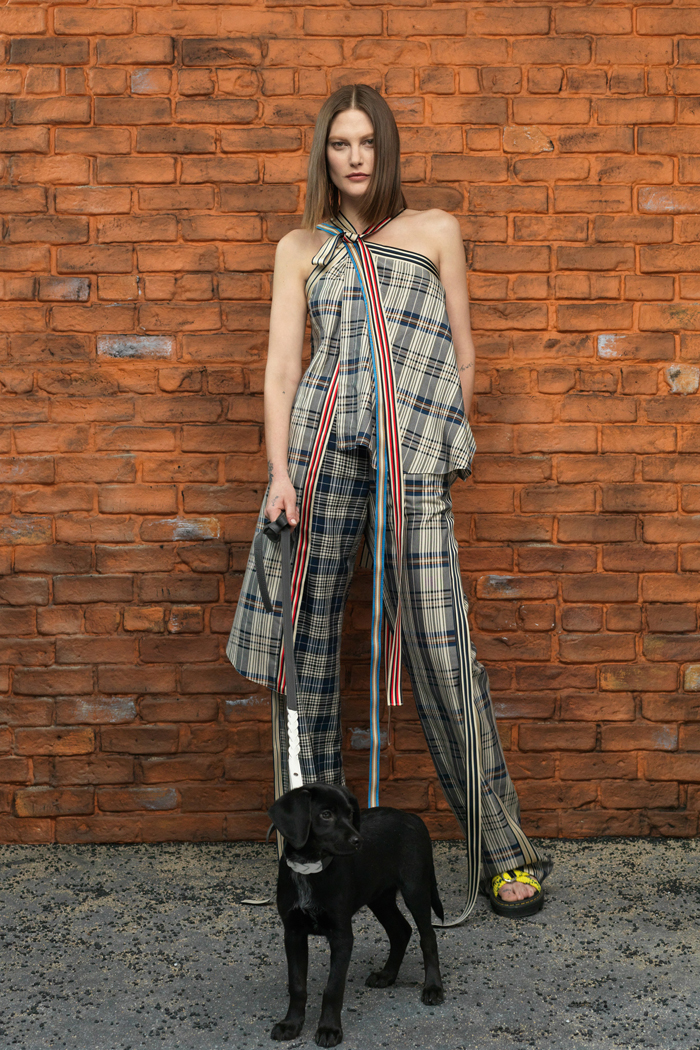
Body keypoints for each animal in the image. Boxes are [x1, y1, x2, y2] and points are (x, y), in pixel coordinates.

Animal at [267, 783, 444, 1047]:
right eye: (325, 814)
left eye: (351, 814)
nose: (358, 841)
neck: (310, 869)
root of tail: (412, 816)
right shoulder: (293, 933)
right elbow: (297, 985)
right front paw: (291, 1024)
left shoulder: (342, 936)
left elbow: (333, 988)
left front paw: (329, 1029)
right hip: (379, 897)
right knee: (401, 931)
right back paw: (387, 975)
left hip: (416, 889)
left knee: (428, 937)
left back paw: (433, 988)